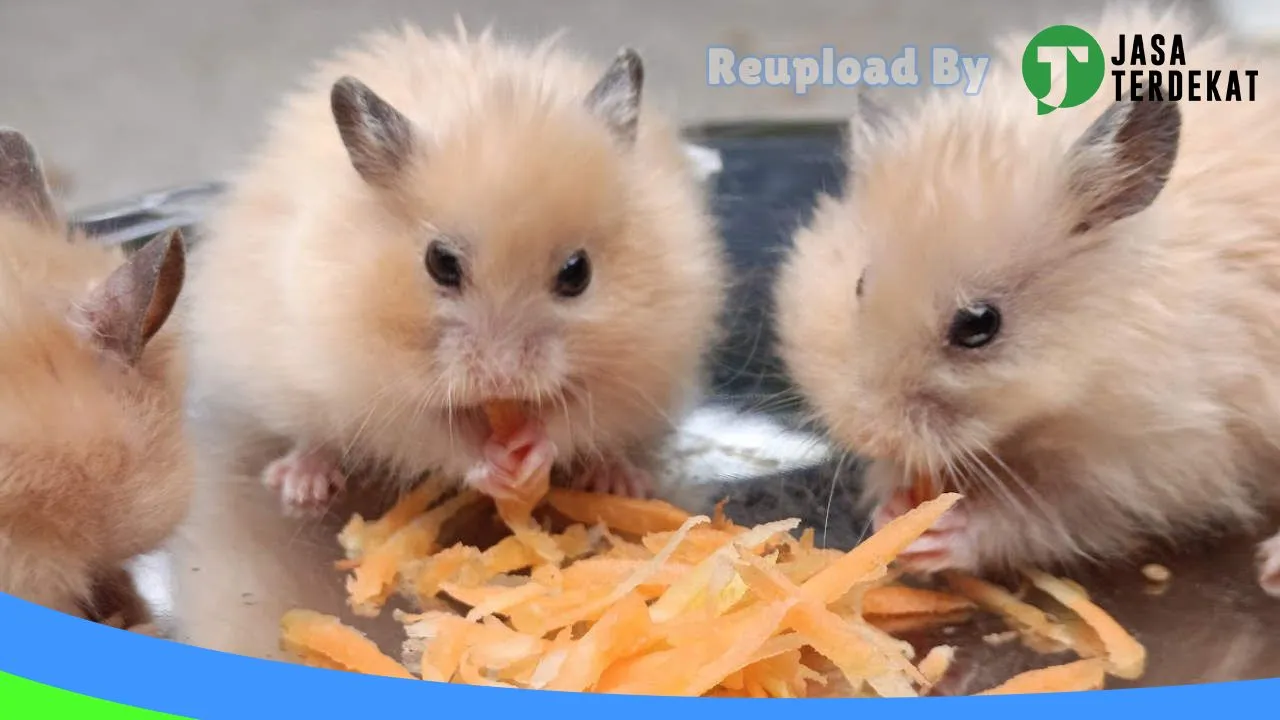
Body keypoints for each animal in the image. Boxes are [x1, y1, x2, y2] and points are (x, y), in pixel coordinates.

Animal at [183, 24, 726, 515]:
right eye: (440, 263)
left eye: (578, 273)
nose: (503, 378)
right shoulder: (370, 388)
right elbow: (435, 435)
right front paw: (498, 467)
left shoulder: (641, 366)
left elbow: (574, 419)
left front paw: (530, 453)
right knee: (313, 436)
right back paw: (300, 483)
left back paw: (620, 479)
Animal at [775, 4, 1280, 595]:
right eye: (858, 285)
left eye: (979, 324)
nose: (868, 433)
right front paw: (893, 509)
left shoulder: (1152, 464)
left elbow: (1047, 511)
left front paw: (939, 535)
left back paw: (1270, 569)